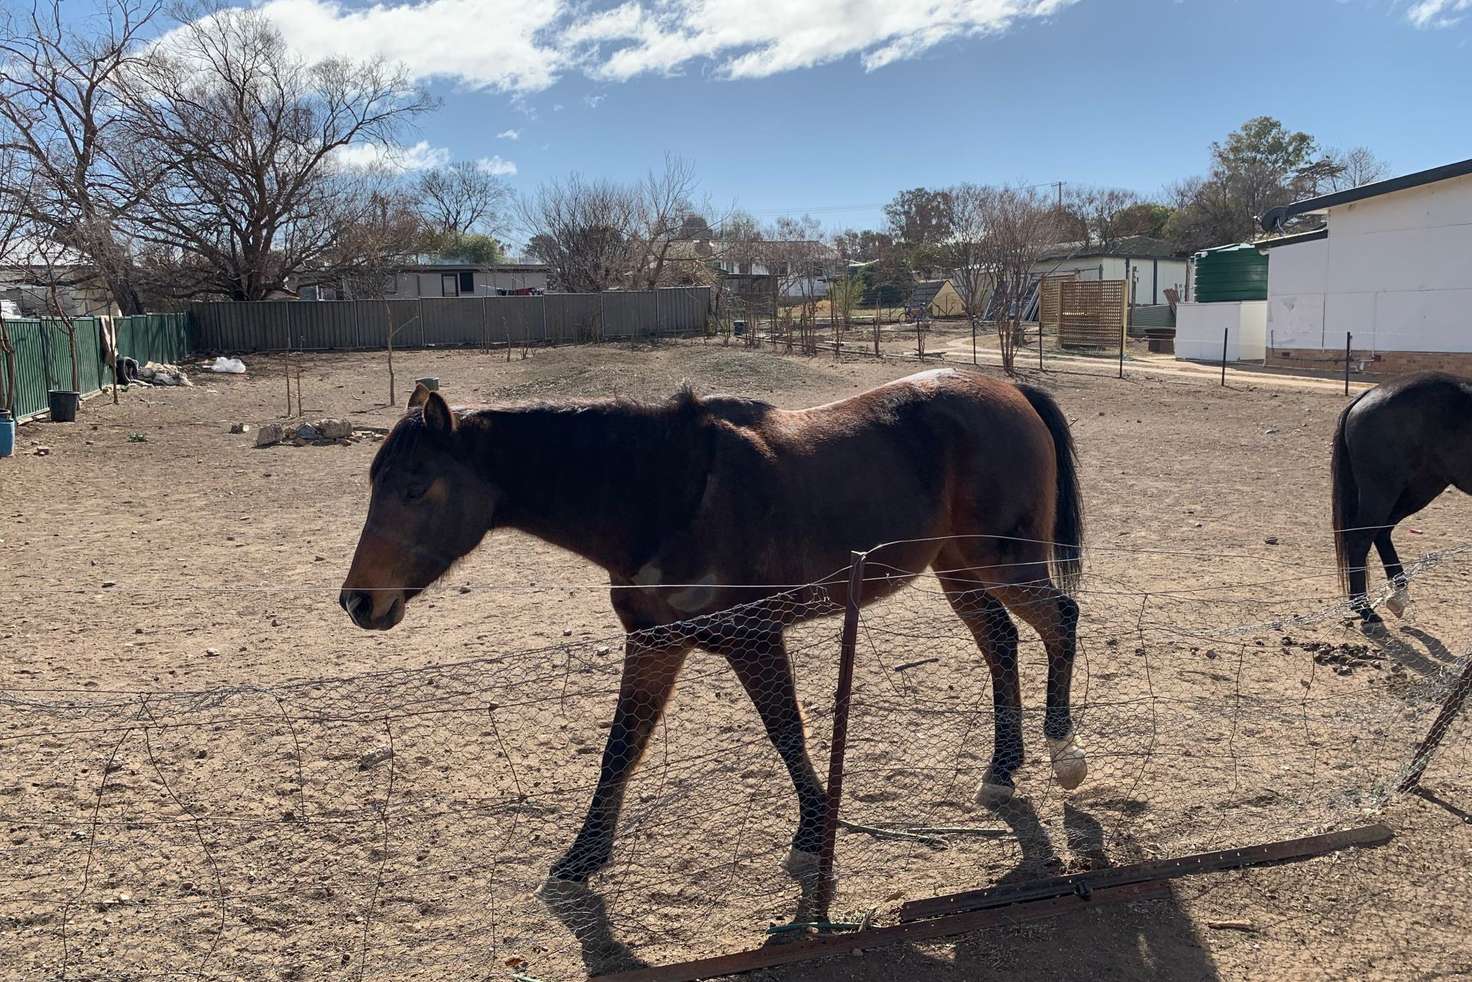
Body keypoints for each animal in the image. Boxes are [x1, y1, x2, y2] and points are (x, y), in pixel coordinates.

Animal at [338, 366, 1089, 883]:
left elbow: (786, 731)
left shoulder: (753, 639)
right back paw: (1003, 767)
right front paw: (584, 855)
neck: (670, 495)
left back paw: (1063, 753)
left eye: (415, 487)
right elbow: (621, 747)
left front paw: (812, 835)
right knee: (1002, 643)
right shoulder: (653, 645)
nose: (359, 602)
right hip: (958, 569)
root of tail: (1008, 388)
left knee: (1060, 620)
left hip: (1004, 561)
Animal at [1336, 372, 1472, 633]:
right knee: (1360, 539)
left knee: (1381, 533)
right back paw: (1364, 608)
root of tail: (1369, 394)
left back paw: (1397, 595)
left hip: (1420, 488)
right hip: (1383, 491)